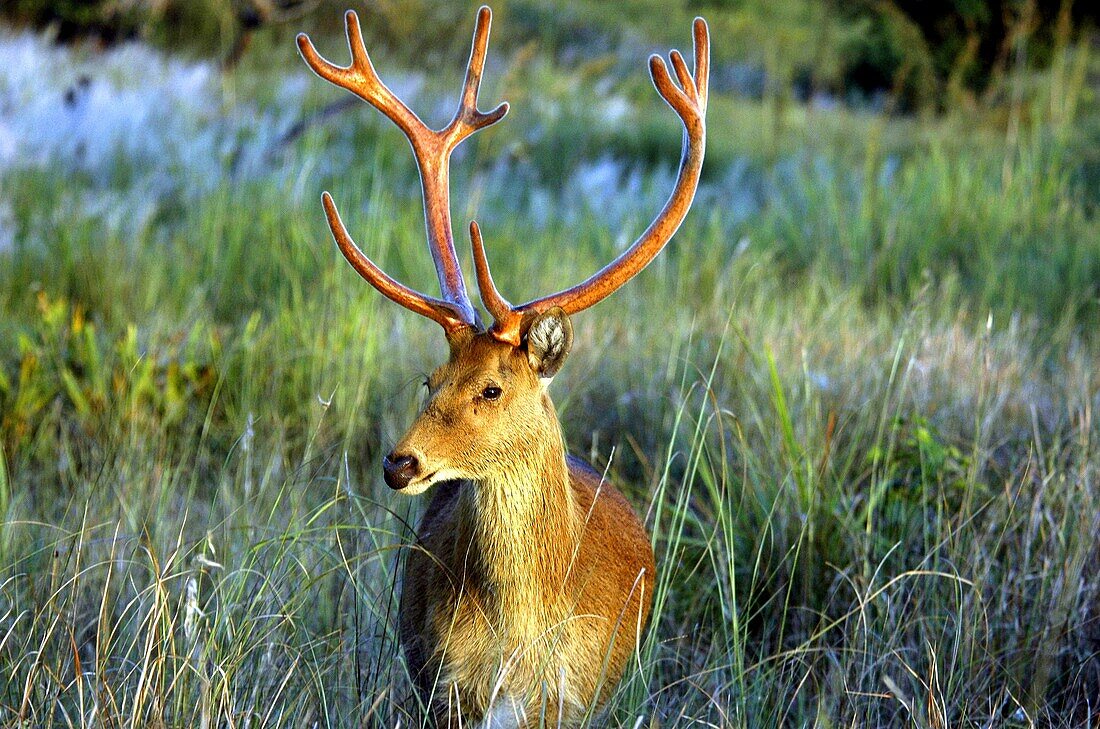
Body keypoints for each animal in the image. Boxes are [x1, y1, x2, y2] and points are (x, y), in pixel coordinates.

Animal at [294, 7, 704, 729]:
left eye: (492, 387)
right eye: (429, 380)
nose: (399, 463)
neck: (521, 641)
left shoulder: (576, 697)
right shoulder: (444, 685)